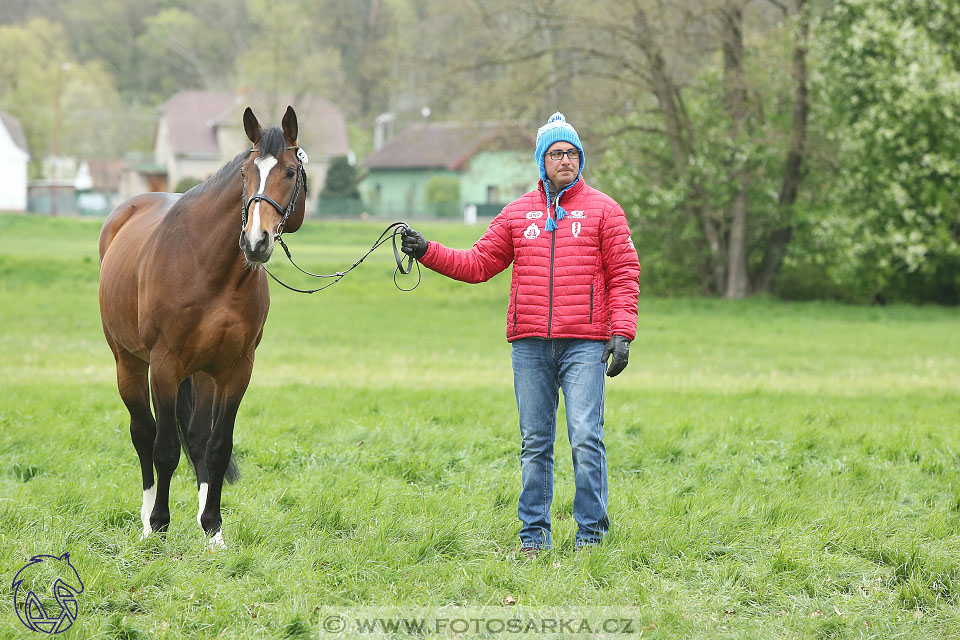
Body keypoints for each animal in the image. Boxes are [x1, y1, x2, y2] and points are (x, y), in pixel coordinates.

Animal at [99, 107, 306, 548]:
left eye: (291, 171)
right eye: (245, 172)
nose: (256, 242)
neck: (209, 268)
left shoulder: (235, 369)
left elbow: (217, 446)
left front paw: (213, 529)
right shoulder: (163, 365)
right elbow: (164, 449)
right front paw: (160, 525)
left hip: (202, 375)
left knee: (195, 438)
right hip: (129, 362)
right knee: (143, 434)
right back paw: (146, 523)